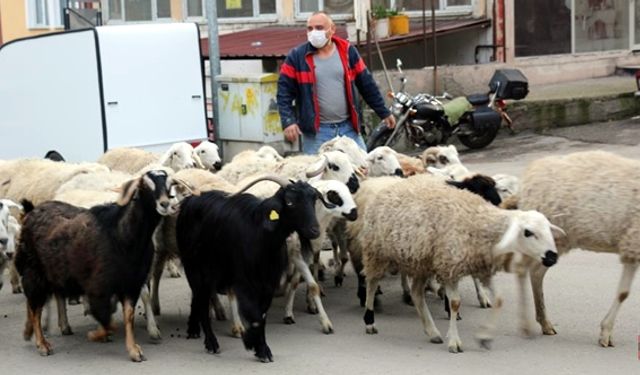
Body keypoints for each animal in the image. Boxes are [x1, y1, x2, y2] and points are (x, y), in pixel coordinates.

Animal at [15, 170, 190, 362]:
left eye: (170, 186)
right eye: (145, 186)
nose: (165, 204)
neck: (124, 235)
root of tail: (32, 211)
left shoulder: (131, 282)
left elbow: (127, 315)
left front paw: (134, 349)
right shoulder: (99, 286)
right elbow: (108, 321)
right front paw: (97, 335)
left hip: (53, 272)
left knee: (44, 300)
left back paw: (35, 331)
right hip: (34, 272)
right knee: (35, 307)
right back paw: (42, 343)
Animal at [176, 175, 322, 362]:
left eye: (313, 199)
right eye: (290, 202)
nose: (314, 230)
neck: (262, 236)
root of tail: (190, 200)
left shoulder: (268, 282)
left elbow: (262, 315)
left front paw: (262, 348)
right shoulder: (244, 281)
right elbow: (254, 316)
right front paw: (252, 342)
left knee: (198, 297)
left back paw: (193, 330)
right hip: (193, 267)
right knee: (201, 300)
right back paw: (211, 344)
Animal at [360, 175, 560, 354]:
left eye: (548, 230)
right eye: (528, 232)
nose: (552, 257)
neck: (480, 222)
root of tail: (389, 186)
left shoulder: (482, 268)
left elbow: (499, 299)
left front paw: (484, 337)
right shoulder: (449, 266)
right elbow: (455, 303)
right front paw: (455, 342)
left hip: (421, 261)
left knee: (417, 293)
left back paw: (432, 332)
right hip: (377, 252)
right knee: (372, 283)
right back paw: (370, 321)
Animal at [516, 151, 640, 346]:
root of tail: (528, 176)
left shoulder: (632, 245)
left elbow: (623, 293)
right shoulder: (632, 241)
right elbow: (623, 293)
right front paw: (605, 334)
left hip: (557, 241)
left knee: (536, 273)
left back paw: (545, 323)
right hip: (535, 235)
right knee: (522, 269)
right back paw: (526, 326)